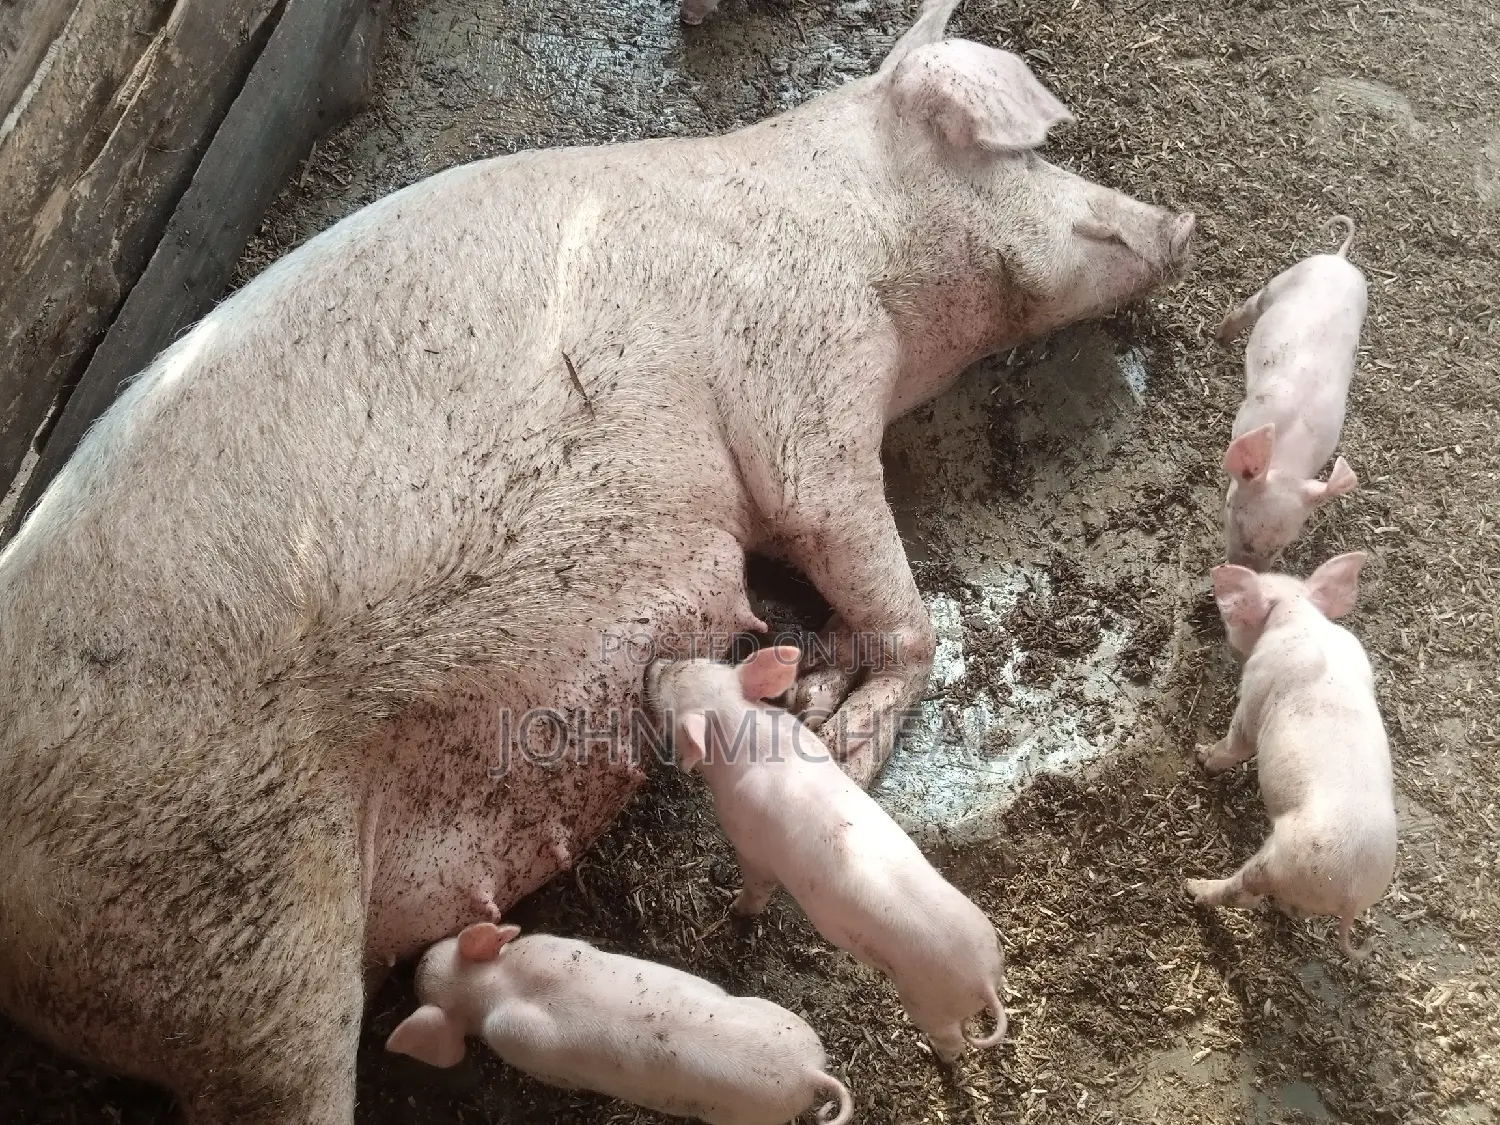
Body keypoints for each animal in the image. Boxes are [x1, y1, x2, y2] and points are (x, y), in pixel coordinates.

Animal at [386, 922, 853, 1125]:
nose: (417, 962)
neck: (499, 987)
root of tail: (808, 1073)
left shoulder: (529, 1055)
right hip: (781, 1016)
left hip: (746, 1118)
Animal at [647, 646, 1007, 1063]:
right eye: (692, 663)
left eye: (667, 697)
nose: (653, 664)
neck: (747, 736)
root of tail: (985, 982)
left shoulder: (750, 846)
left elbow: (756, 887)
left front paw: (735, 909)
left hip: (928, 1003)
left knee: (951, 1042)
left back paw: (935, 1054)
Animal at [1184, 552, 1397, 959]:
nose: (1227, 637)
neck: (1299, 615)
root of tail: (1351, 896)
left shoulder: (1254, 693)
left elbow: (1237, 743)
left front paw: (1201, 756)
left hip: (1285, 859)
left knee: (1244, 893)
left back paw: (1192, 887)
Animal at [1214, 215, 1367, 570]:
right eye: (1234, 518)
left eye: (1282, 545)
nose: (1247, 573)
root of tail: (1338, 258)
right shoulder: (1245, 417)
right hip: (1282, 282)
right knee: (1251, 305)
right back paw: (1219, 338)